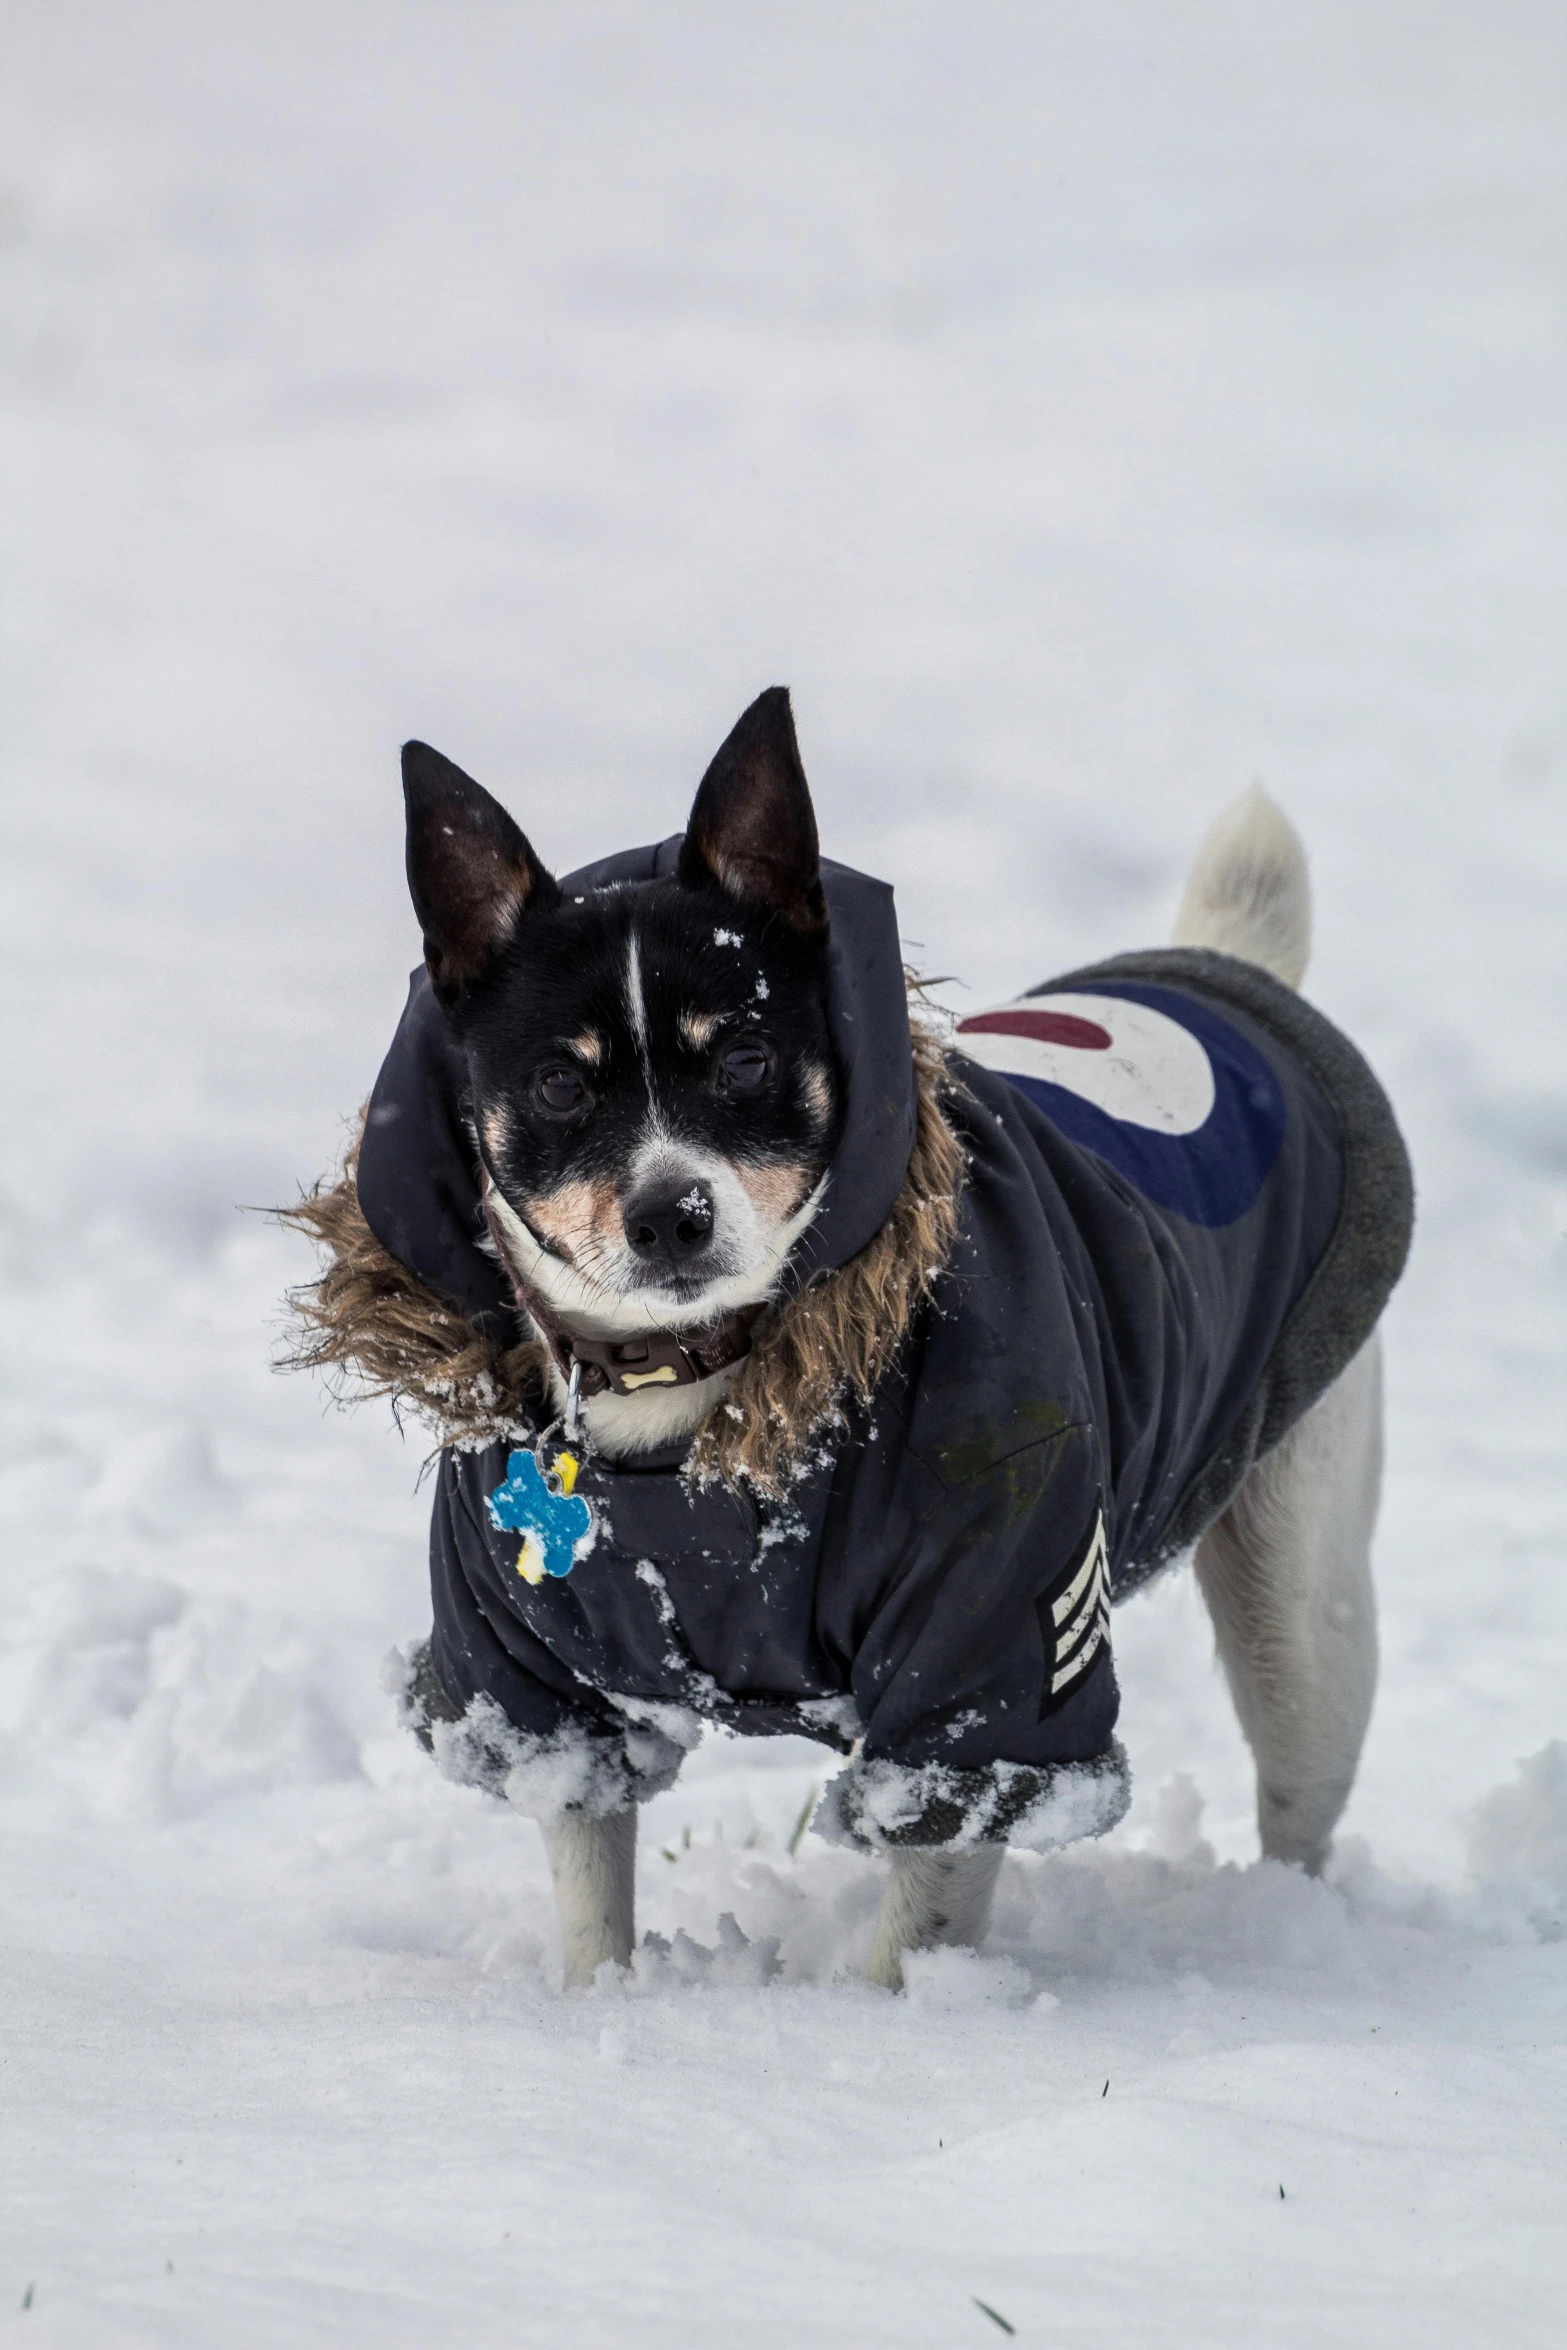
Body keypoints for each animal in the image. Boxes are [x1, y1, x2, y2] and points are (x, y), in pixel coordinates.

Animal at [287, 686, 1418, 1992]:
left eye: (745, 1056)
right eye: (561, 1086)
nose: (669, 1213)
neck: (698, 1404)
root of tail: (1224, 974)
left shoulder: (987, 1660)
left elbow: (923, 1900)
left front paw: (889, 2027)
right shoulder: (533, 1682)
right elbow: (589, 1883)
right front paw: (598, 2005)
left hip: (1302, 1597)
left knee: (1299, 1785)